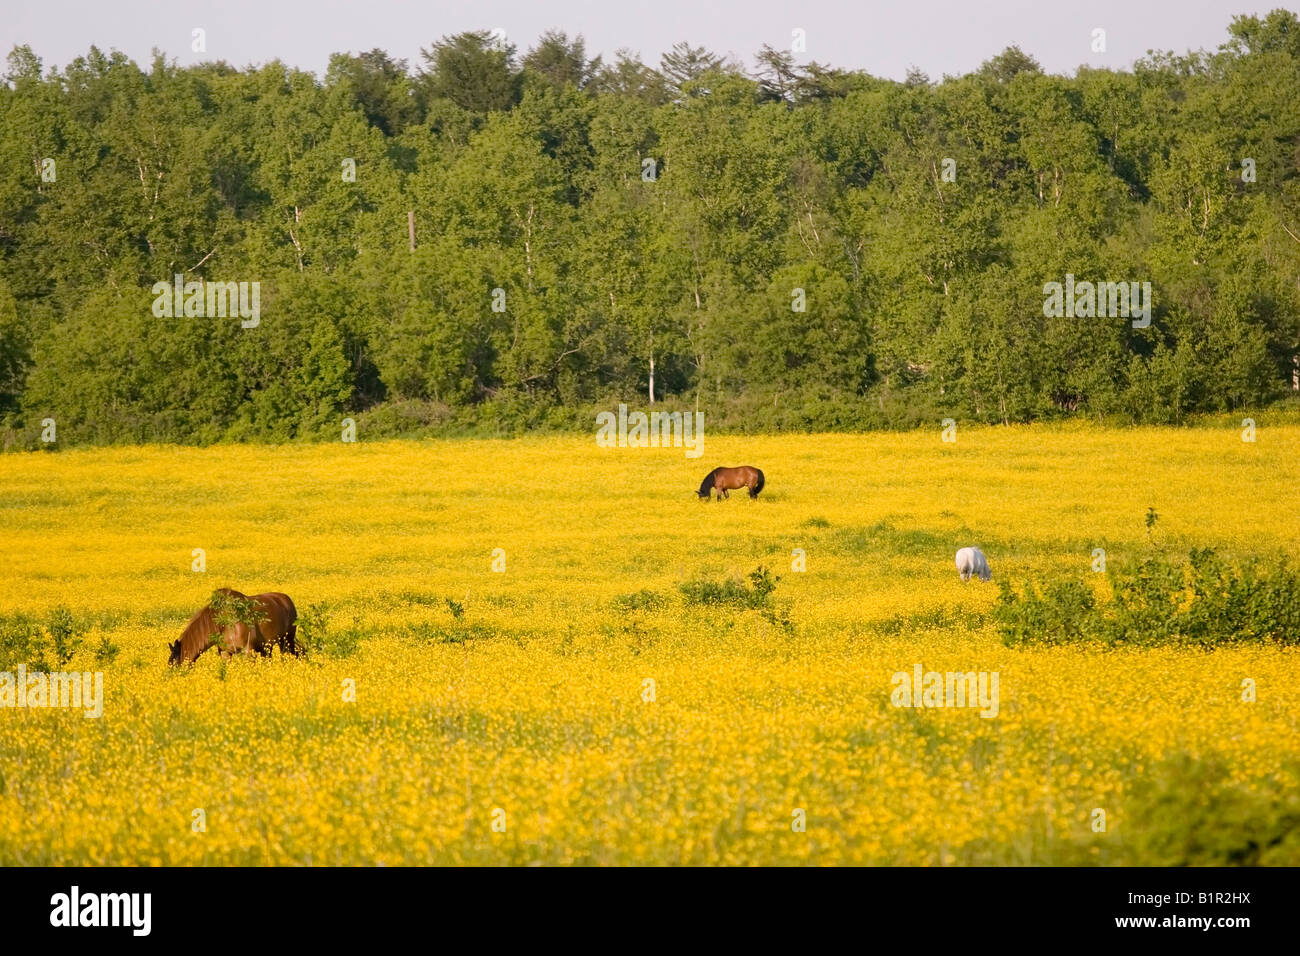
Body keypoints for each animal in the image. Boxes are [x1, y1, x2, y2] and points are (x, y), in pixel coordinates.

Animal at [167, 582, 297, 665]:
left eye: (174, 664)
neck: (224, 623)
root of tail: (286, 600)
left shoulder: (248, 651)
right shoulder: (225, 653)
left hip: (286, 641)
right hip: (267, 646)